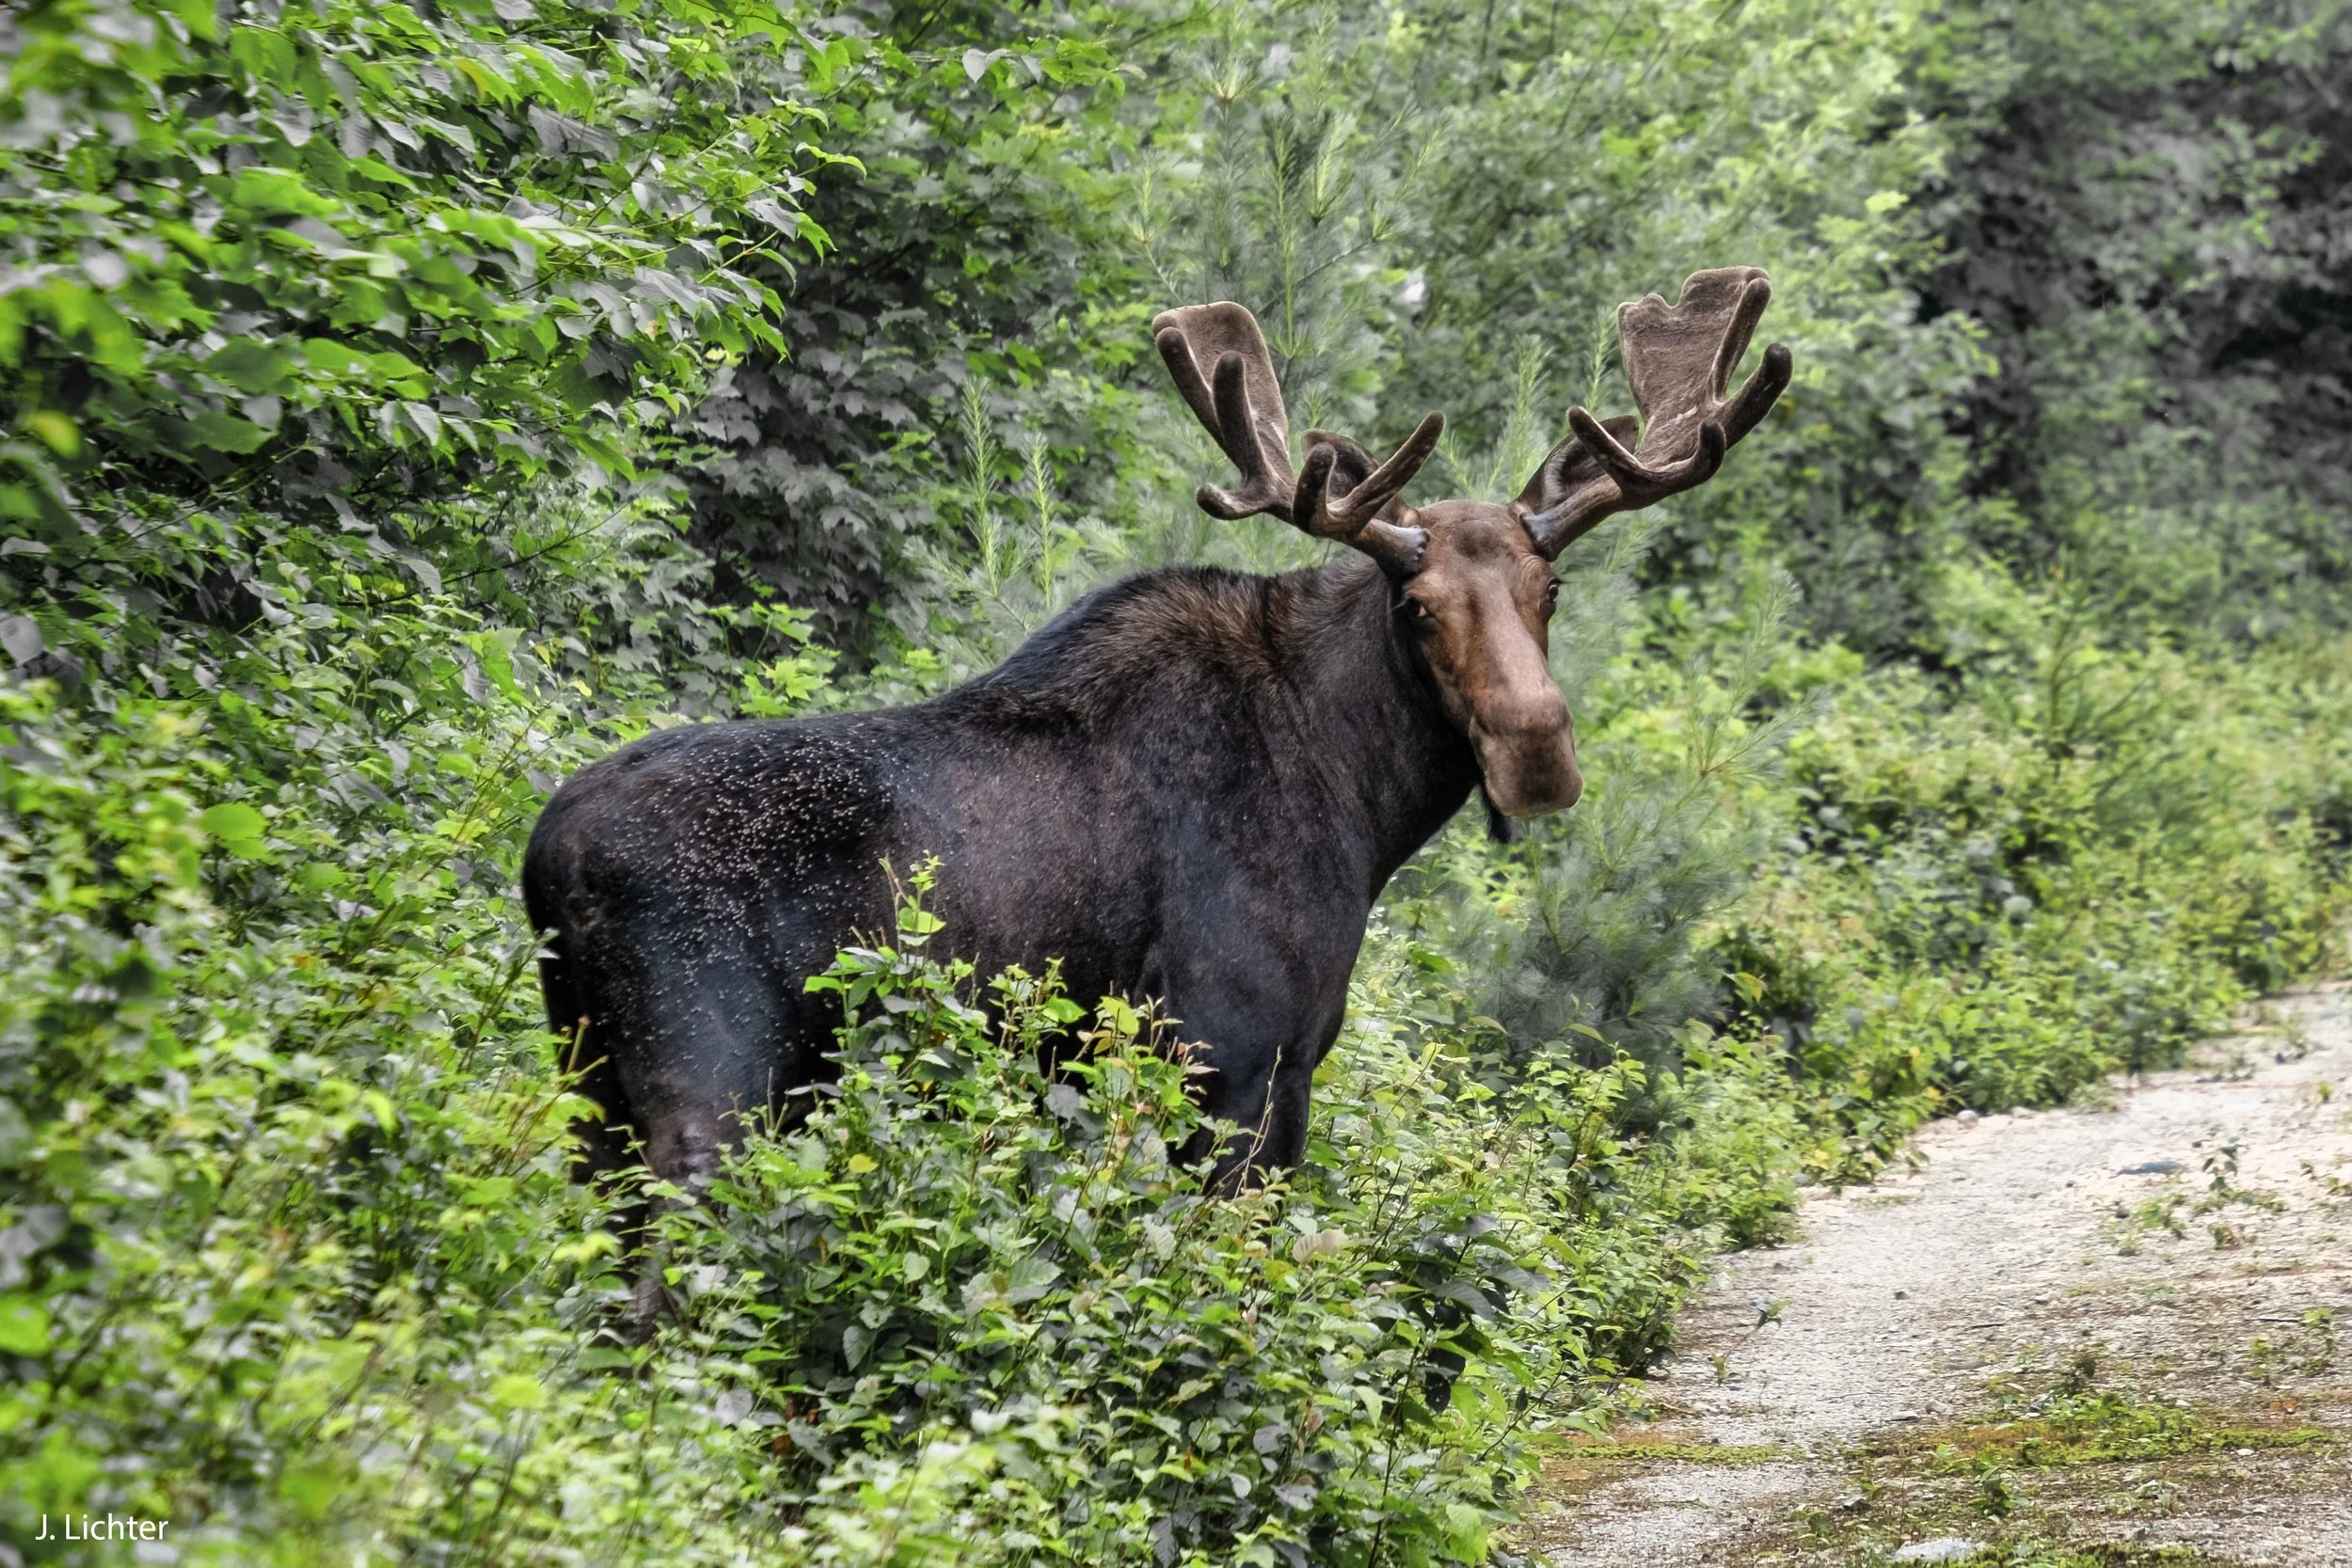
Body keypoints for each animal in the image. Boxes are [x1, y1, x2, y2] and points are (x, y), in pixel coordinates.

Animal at [523, 267, 1791, 1223]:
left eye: (1549, 588)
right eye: (1417, 604)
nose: (1536, 750)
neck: (1361, 798)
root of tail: (547, 863)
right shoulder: (1238, 1050)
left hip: (593, 1090)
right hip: (716, 1074)